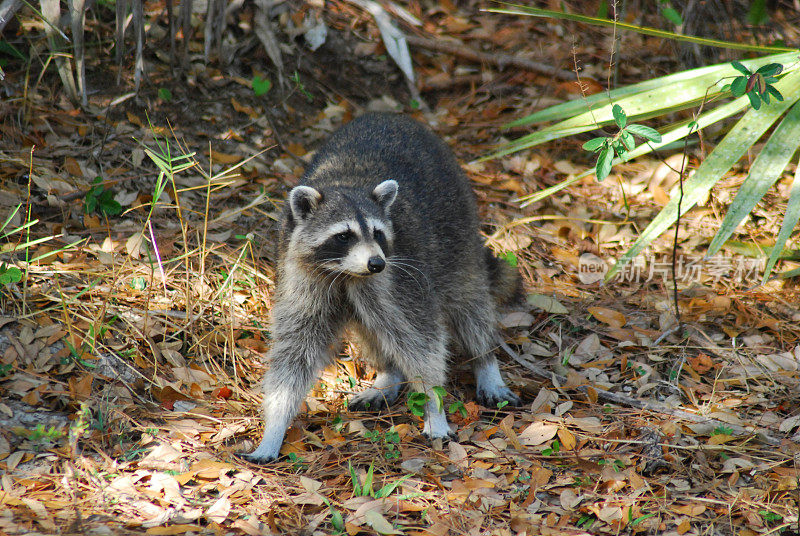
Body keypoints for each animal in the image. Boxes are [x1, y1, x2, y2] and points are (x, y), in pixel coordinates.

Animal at [241, 114, 520, 464]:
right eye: (344, 235)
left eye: (377, 232)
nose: (376, 263)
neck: (344, 272)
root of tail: (395, 116)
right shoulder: (300, 274)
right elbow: (296, 350)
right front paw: (274, 426)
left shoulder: (402, 273)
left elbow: (420, 338)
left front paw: (434, 405)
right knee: (371, 325)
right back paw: (390, 372)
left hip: (457, 226)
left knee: (468, 302)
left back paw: (485, 362)